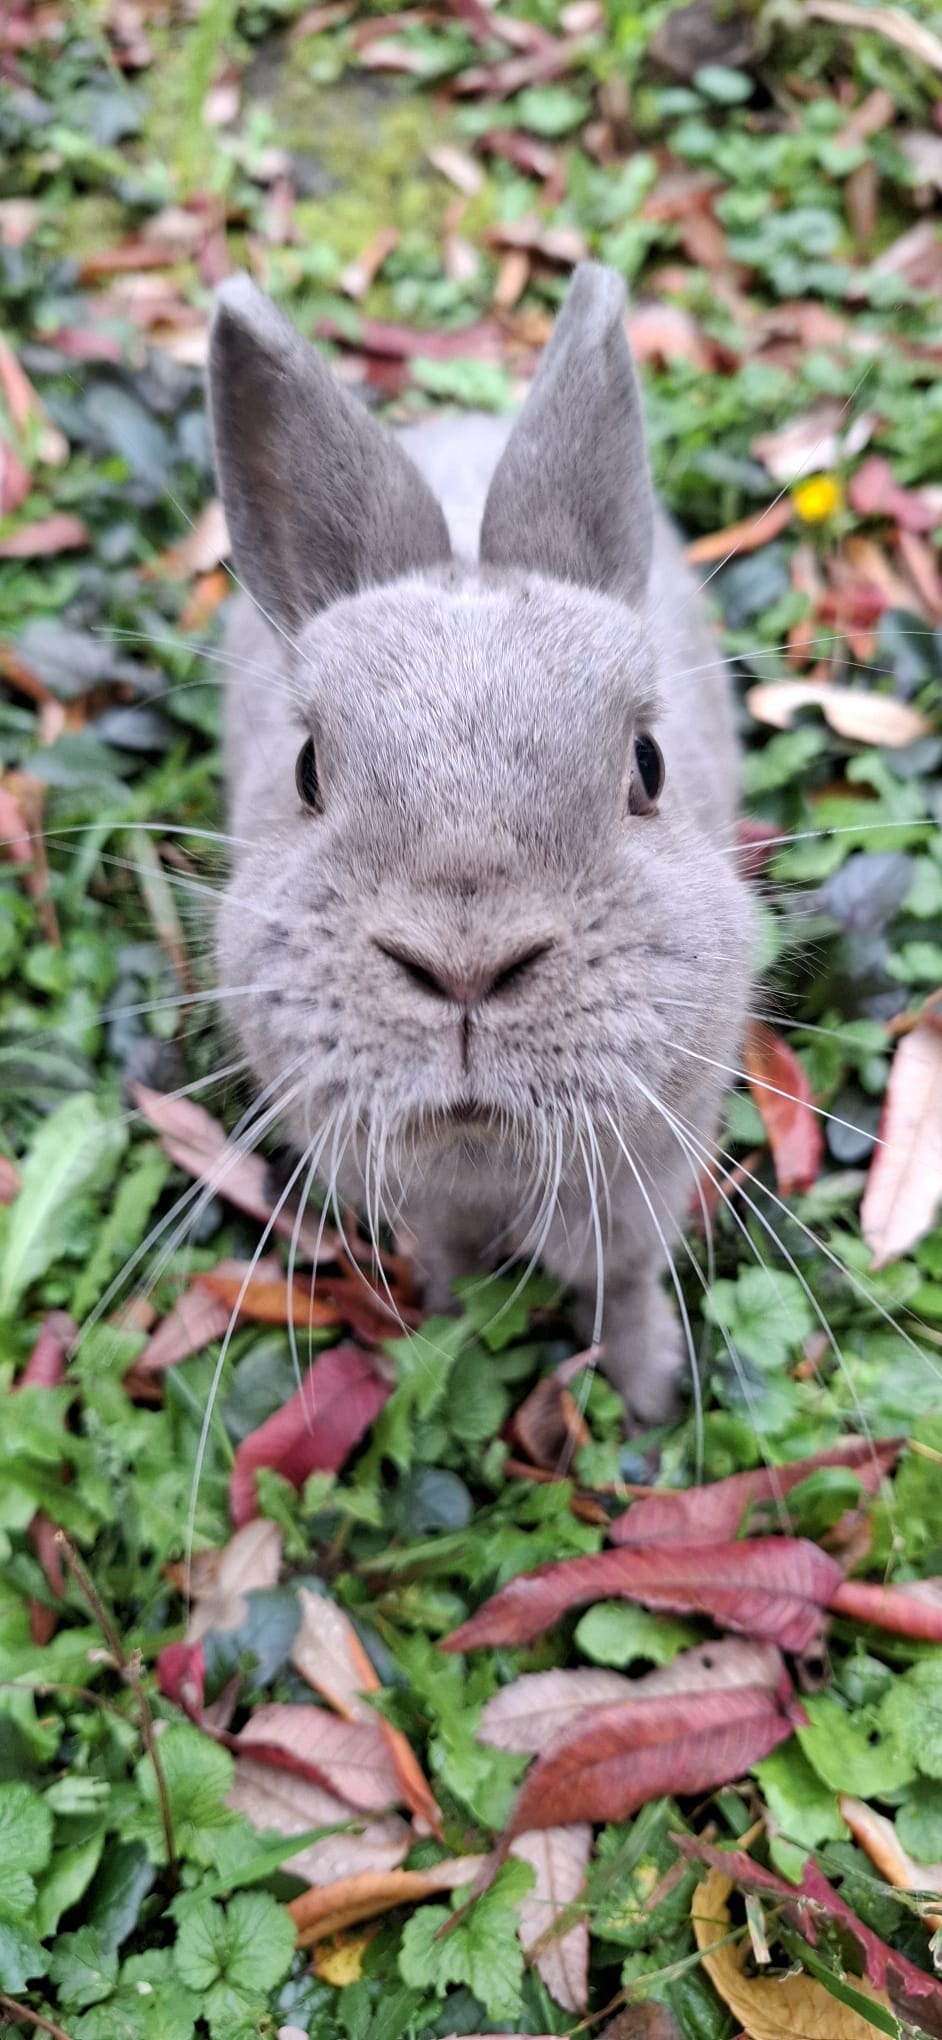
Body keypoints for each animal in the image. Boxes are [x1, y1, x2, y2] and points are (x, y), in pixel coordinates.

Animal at [208, 262, 754, 1427]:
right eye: (307, 771)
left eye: (648, 767)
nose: (463, 968)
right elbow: (454, 1262)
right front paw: (451, 1333)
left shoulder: (643, 1183)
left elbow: (623, 1279)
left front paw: (648, 1396)